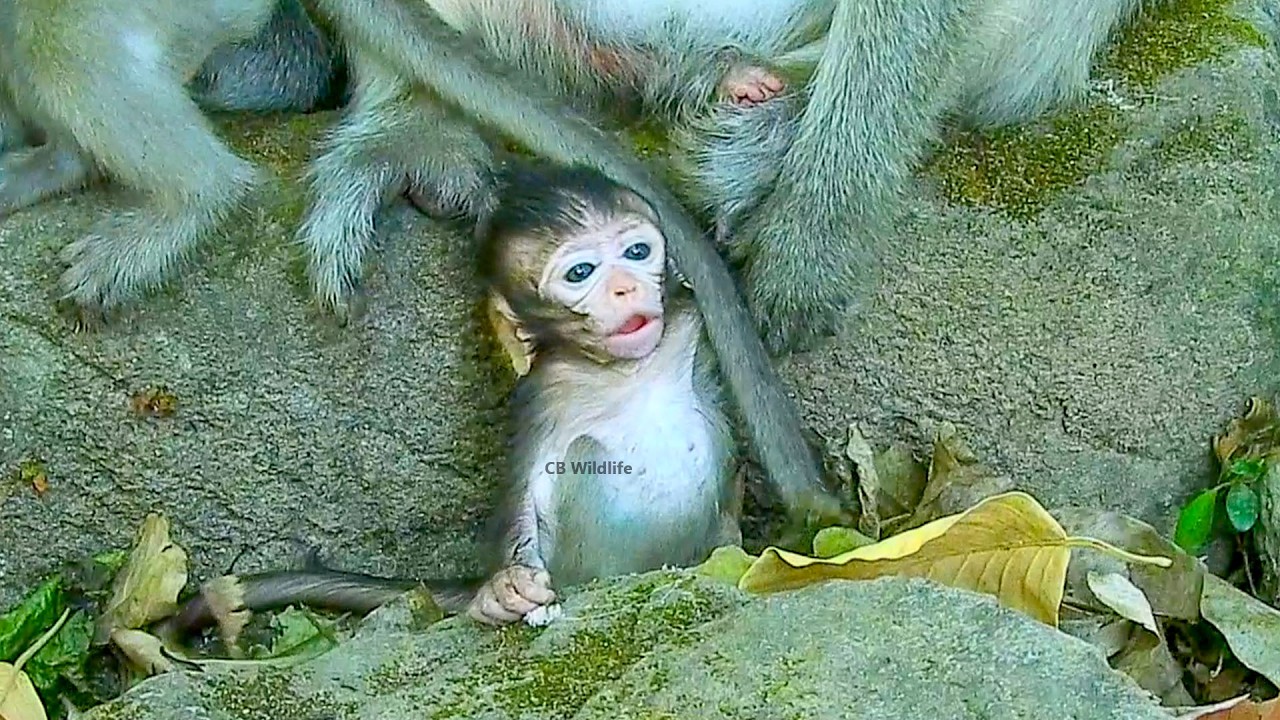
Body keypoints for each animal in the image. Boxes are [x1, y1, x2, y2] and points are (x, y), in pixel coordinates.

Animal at [161, 160, 742, 637]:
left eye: (636, 252)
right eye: (582, 273)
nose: (625, 286)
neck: (626, 372)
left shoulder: (688, 326)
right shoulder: (542, 395)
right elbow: (529, 489)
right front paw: (505, 590)